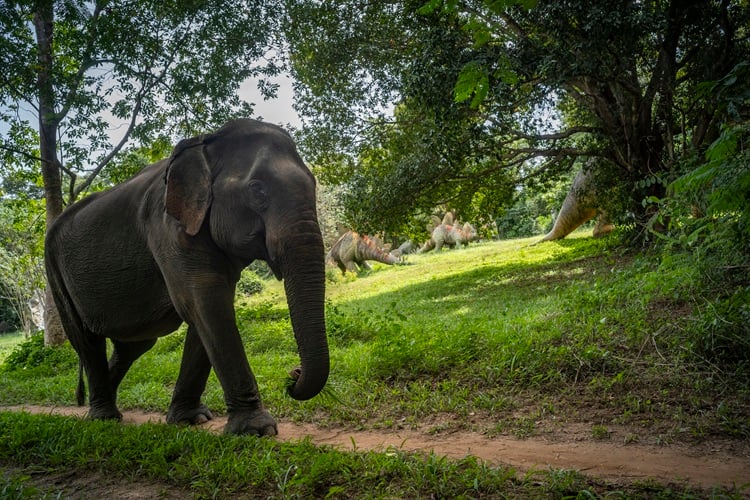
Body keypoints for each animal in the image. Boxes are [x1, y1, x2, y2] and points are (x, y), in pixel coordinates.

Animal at [44, 118, 328, 436]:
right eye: (257, 189)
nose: (293, 374)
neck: (205, 143)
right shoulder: (167, 228)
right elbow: (204, 303)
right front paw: (256, 430)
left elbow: (205, 312)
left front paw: (190, 419)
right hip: (55, 274)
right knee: (86, 339)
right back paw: (104, 417)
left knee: (134, 345)